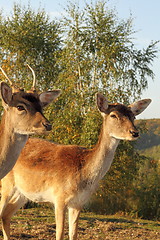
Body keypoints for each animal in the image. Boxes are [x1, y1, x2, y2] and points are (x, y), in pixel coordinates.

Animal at [0, 93, 151, 239]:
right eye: (113, 115)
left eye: (133, 116)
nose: (134, 132)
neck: (84, 174)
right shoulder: (59, 197)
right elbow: (60, 234)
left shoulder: (78, 203)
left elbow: (73, 234)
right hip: (6, 184)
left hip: (23, 193)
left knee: (6, 215)